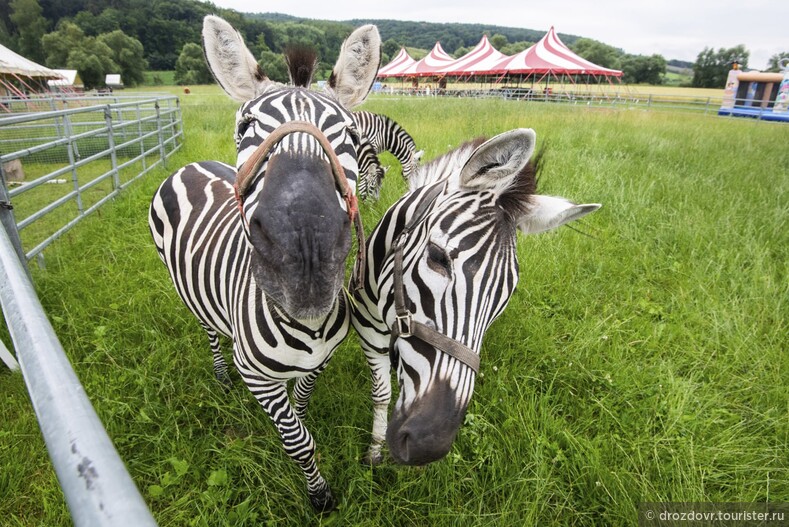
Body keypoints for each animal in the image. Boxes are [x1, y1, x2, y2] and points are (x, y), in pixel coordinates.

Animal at [150, 15, 382, 512]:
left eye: (352, 137)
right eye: (245, 127)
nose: (307, 255)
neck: (307, 325)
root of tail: (193, 164)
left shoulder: (319, 363)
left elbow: (300, 406)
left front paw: (299, 414)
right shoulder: (256, 376)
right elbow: (299, 441)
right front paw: (319, 496)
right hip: (191, 298)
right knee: (210, 333)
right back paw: (220, 377)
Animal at [348, 128, 600, 466]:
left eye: (507, 293)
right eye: (437, 257)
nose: (429, 443)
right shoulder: (367, 332)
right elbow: (381, 393)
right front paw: (374, 449)